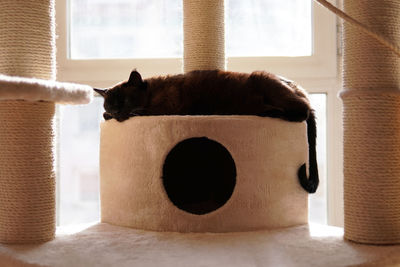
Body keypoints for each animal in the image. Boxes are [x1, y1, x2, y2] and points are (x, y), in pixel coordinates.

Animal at [94, 70, 318, 194]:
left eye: (124, 101)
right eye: (110, 105)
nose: (116, 112)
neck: (153, 92)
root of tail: (297, 86)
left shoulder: (155, 111)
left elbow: (136, 113)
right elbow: (106, 116)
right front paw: (107, 116)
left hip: (263, 80)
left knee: (302, 111)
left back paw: (271, 114)